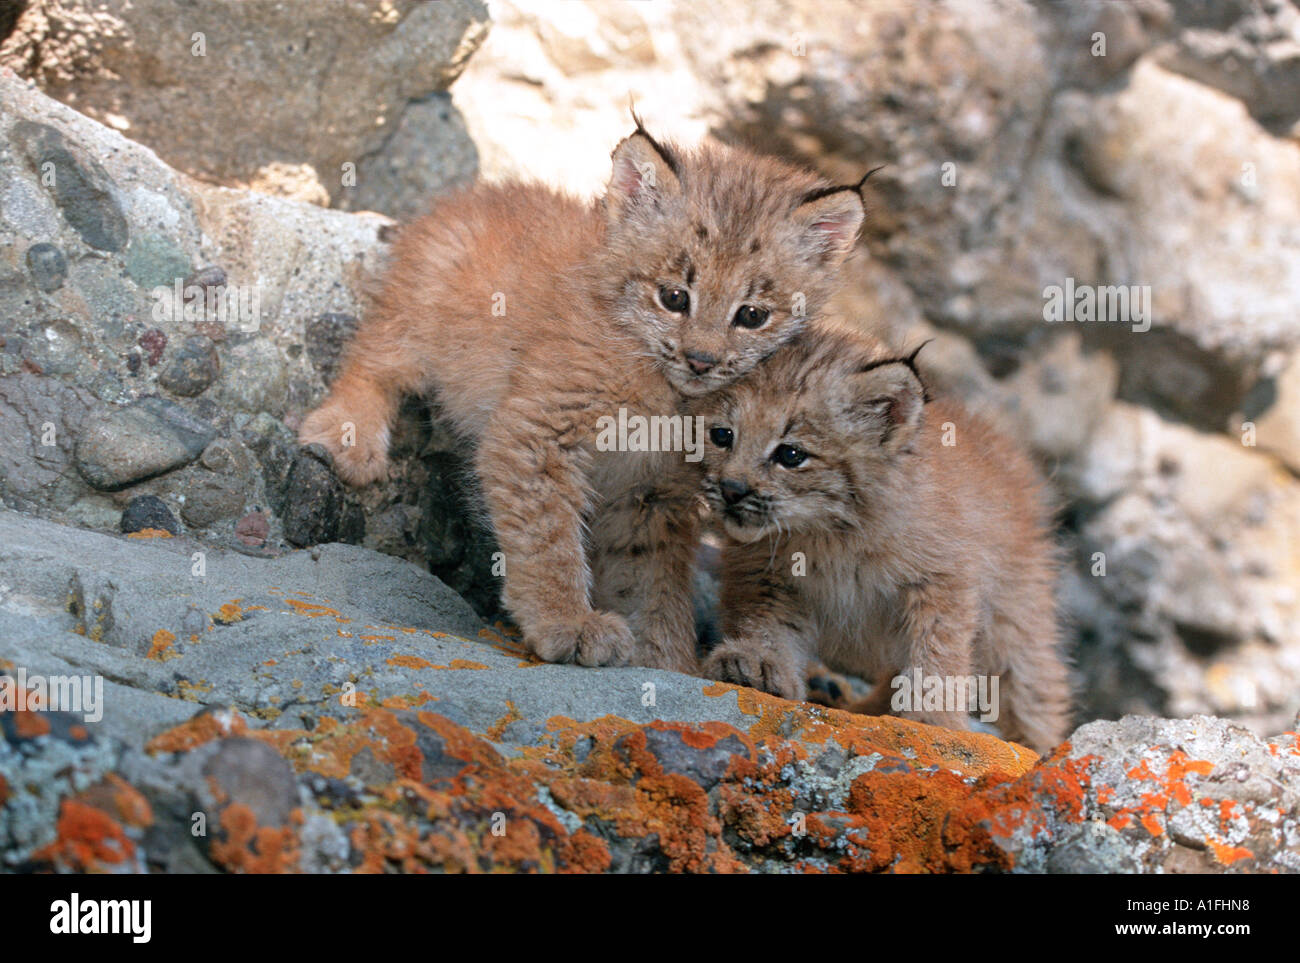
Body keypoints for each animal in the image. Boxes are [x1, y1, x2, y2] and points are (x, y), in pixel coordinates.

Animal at [299, 122, 868, 670]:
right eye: (674, 297)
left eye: (752, 315)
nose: (702, 360)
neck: (668, 392)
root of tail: (474, 193)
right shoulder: (536, 431)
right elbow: (548, 540)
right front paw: (566, 623)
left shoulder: (654, 491)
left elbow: (653, 580)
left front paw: (667, 662)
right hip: (420, 319)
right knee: (372, 355)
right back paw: (349, 435)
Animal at [696, 323, 1071, 753]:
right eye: (722, 435)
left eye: (791, 455)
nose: (731, 489)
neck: (829, 534)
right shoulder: (764, 575)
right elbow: (763, 622)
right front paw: (758, 662)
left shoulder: (943, 580)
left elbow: (936, 651)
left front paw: (932, 721)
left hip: (1015, 613)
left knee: (1032, 684)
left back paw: (1039, 747)